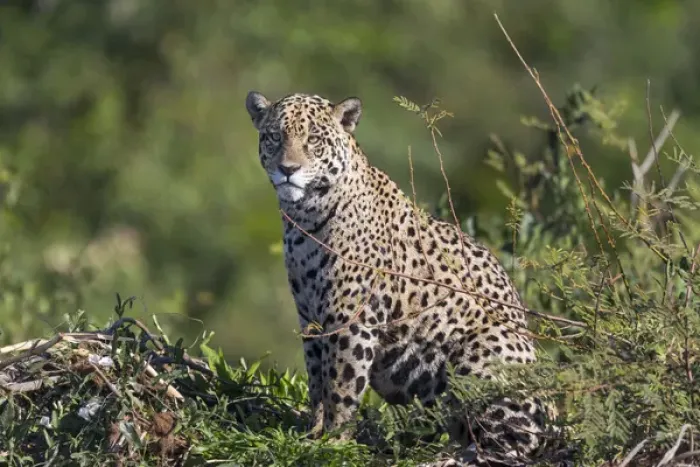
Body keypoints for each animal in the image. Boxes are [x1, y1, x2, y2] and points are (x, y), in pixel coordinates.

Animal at [244, 91, 562, 466]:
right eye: (274, 137)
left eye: (314, 140)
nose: (288, 170)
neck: (304, 219)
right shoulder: (310, 318)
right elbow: (317, 383)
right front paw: (312, 435)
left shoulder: (351, 319)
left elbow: (341, 386)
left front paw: (335, 443)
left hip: (485, 352)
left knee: (512, 444)